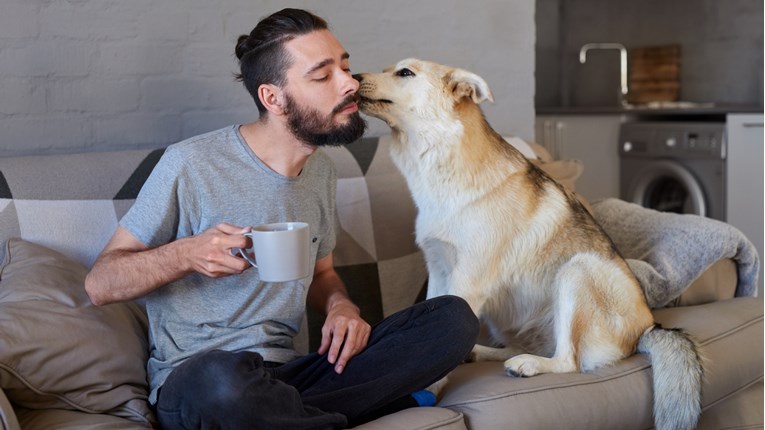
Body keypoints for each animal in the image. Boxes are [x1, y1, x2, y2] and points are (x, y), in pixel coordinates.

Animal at [356, 58, 700, 430]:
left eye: (405, 73)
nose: (354, 76)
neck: (442, 163)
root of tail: (648, 328)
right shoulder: (439, 271)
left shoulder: (466, 282)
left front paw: (428, 392)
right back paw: (486, 353)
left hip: (577, 270)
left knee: (569, 362)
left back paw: (530, 364)